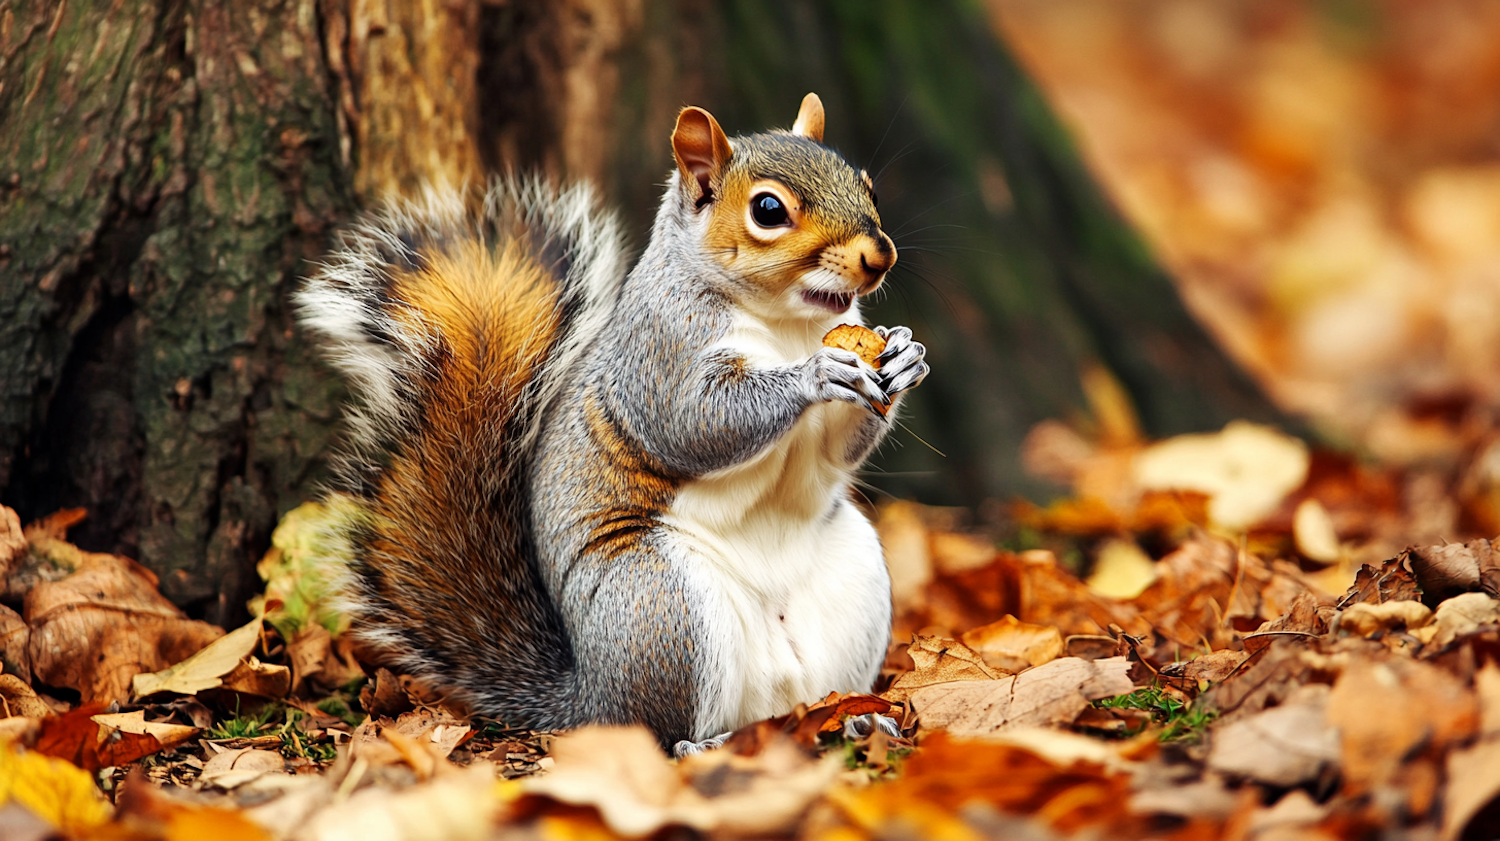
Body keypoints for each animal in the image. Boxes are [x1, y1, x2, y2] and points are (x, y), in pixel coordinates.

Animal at [292, 91, 924, 746]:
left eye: (868, 186)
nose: (879, 256)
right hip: (661, 606)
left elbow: (836, 449)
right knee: (659, 730)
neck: (788, 324)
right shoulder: (660, 355)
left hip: (852, 578)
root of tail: (586, 697)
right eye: (768, 210)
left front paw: (905, 356)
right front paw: (815, 375)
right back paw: (711, 742)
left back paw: (853, 720)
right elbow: (696, 424)